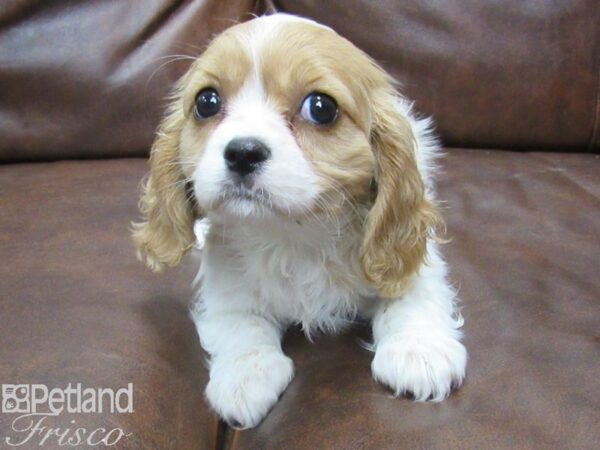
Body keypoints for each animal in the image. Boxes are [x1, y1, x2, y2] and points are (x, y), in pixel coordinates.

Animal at [134, 13, 466, 428]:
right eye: (206, 103)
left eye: (321, 108)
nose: (243, 151)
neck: (296, 232)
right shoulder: (225, 280)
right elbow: (241, 321)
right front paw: (245, 375)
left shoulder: (411, 257)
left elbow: (413, 293)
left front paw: (419, 352)